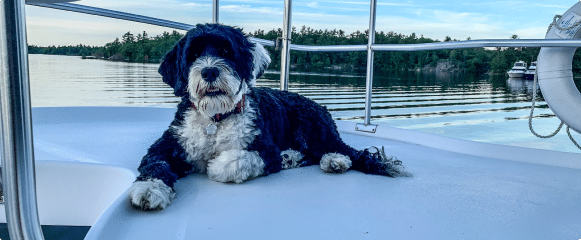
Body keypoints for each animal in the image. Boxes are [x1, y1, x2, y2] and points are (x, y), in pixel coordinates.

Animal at [129, 23, 410, 210]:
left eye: (226, 51)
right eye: (194, 55)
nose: (209, 71)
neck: (216, 119)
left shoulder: (264, 149)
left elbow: (231, 161)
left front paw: (214, 164)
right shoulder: (167, 144)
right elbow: (155, 164)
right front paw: (149, 188)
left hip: (309, 123)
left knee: (340, 150)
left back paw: (333, 160)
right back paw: (294, 157)